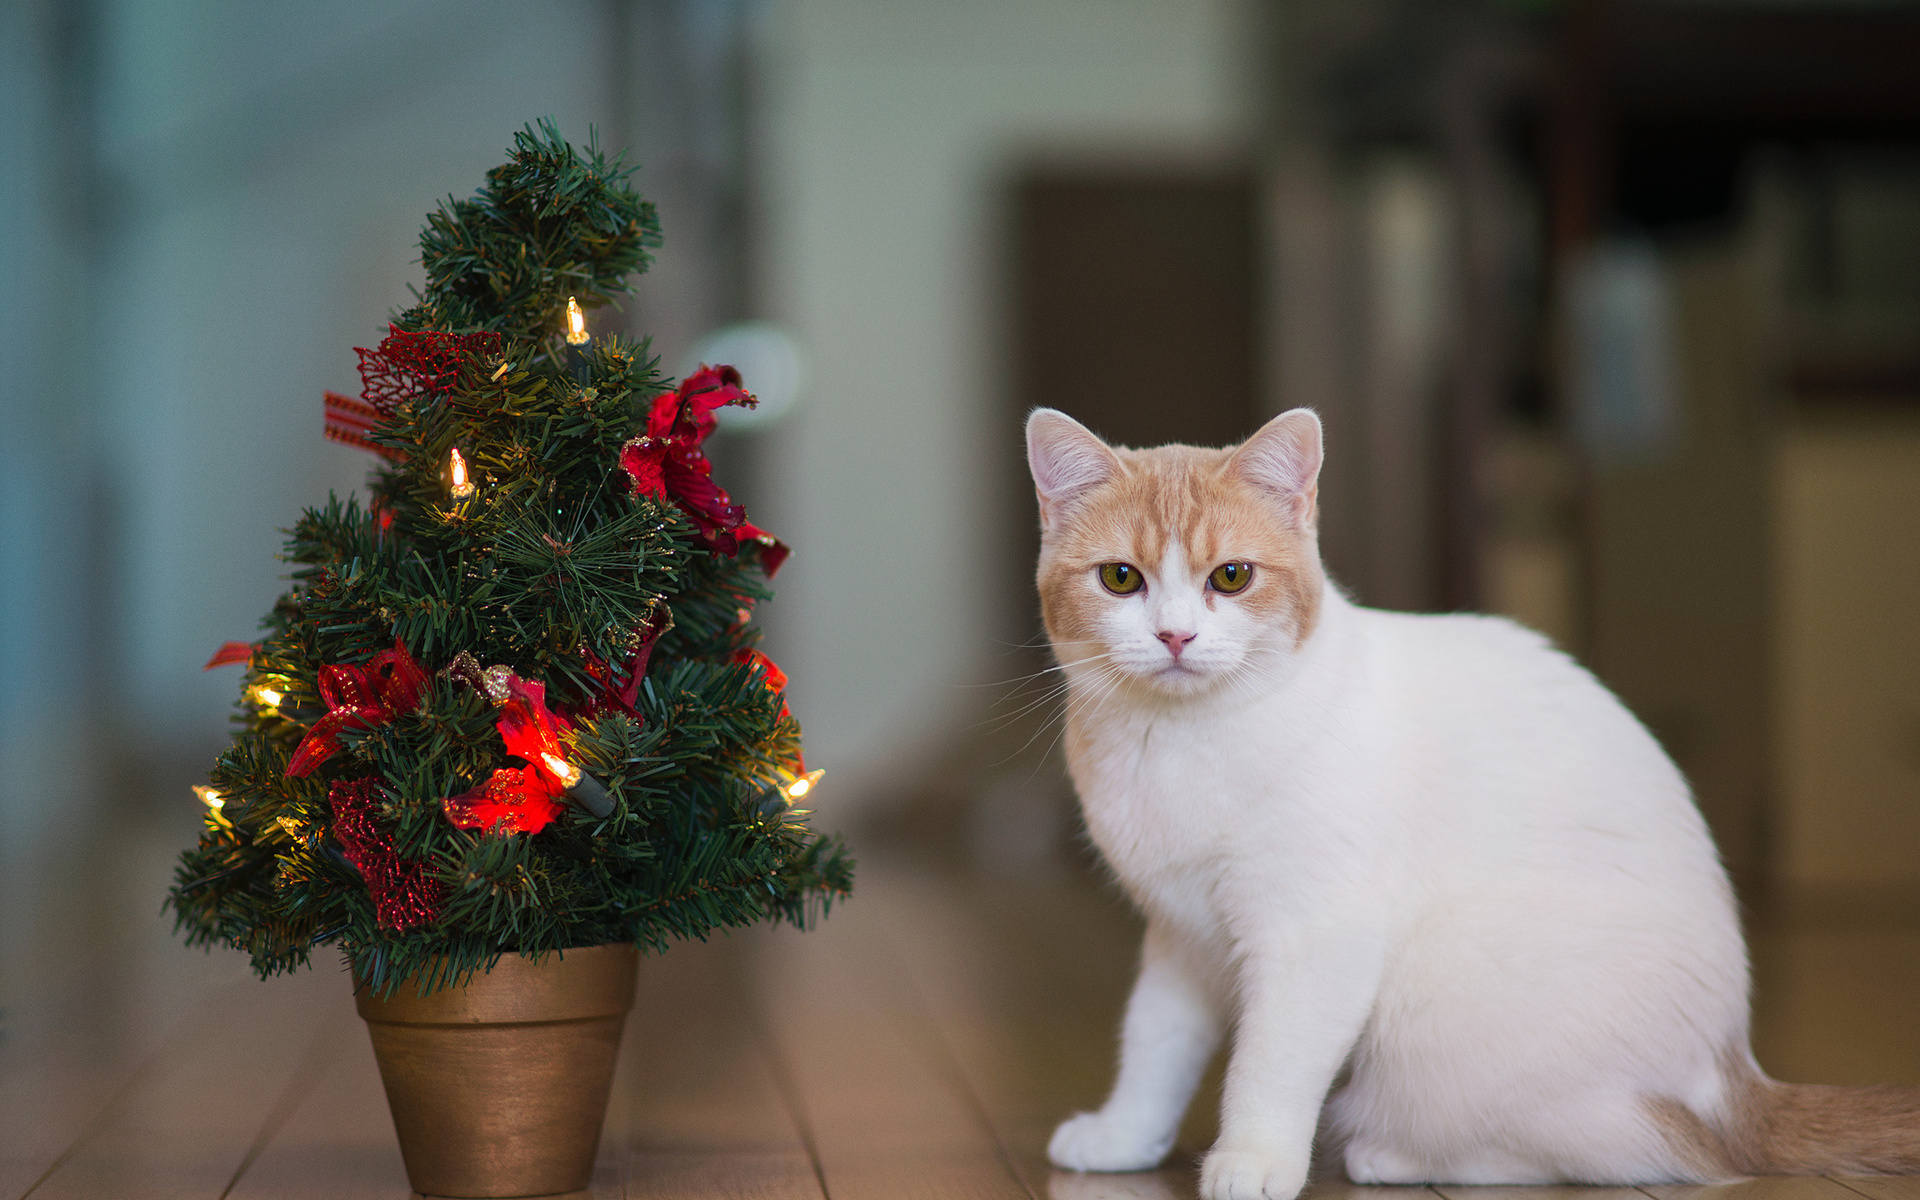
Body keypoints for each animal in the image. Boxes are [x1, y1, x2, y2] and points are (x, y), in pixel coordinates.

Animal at [1029, 405, 1912, 1198]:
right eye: (1121, 578)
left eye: (1231, 577)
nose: (1175, 637)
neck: (1178, 742)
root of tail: (1736, 1076)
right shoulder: (1182, 938)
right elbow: (1155, 1044)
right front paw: (1124, 1137)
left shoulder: (1314, 938)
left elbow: (1269, 1064)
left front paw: (1252, 1160)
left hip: (1444, 1021)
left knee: (1654, 1152)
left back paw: (1390, 1157)